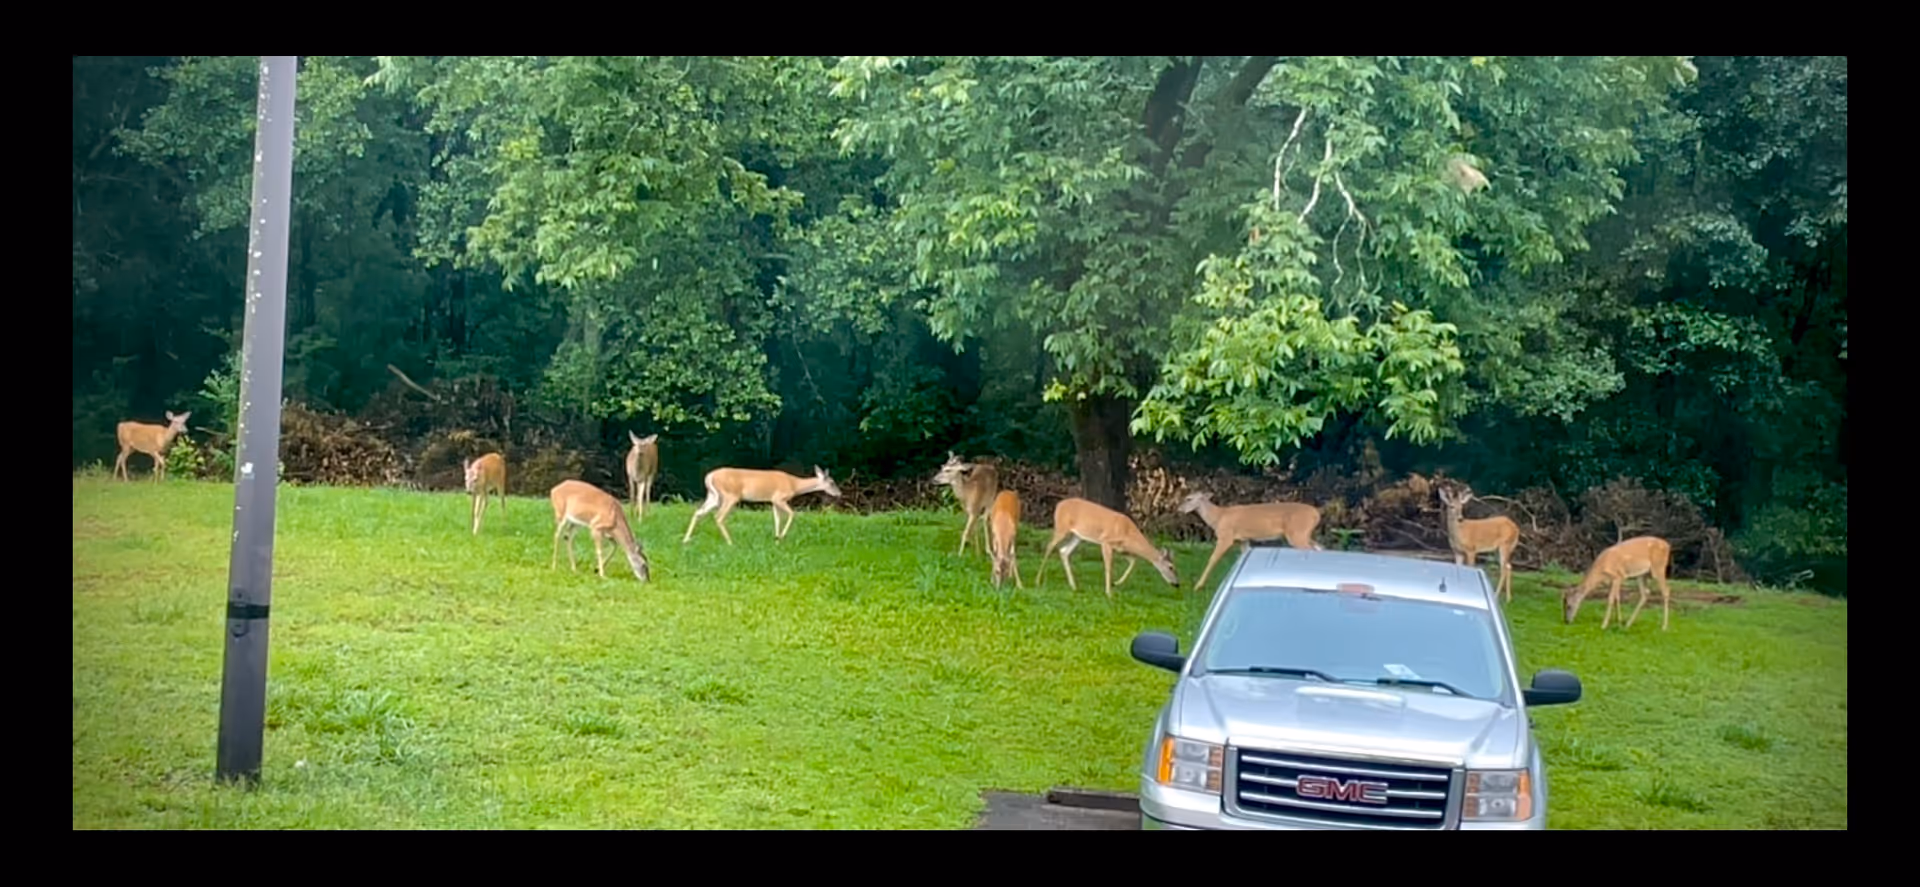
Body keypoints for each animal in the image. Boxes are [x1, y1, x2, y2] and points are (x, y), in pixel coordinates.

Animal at [682, 465, 843, 545]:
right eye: (832, 482)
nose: (839, 493)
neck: (794, 484)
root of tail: (709, 477)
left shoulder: (773, 501)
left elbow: (777, 519)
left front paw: (777, 539)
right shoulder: (779, 498)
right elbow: (792, 514)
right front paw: (782, 536)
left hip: (714, 496)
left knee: (698, 512)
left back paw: (685, 540)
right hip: (730, 495)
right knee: (718, 516)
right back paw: (730, 542)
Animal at [1034, 497, 1180, 600]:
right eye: (1171, 567)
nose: (1177, 584)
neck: (1128, 534)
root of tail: (1058, 505)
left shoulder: (1121, 549)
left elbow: (1133, 562)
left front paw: (1116, 583)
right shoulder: (1106, 542)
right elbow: (1108, 567)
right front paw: (1109, 593)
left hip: (1078, 536)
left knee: (1064, 551)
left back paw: (1073, 586)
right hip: (1061, 527)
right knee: (1049, 547)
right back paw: (1038, 581)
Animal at [1178, 491, 1323, 590]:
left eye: (1189, 498)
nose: (1179, 508)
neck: (1218, 517)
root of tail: (1316, 514)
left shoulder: (1226, 536)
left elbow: (1212, 559)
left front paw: (1198, 586)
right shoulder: (1243, 540)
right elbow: (1242, 557)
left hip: (1297, 533)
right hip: (1304, 534)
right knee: (1320, 548)